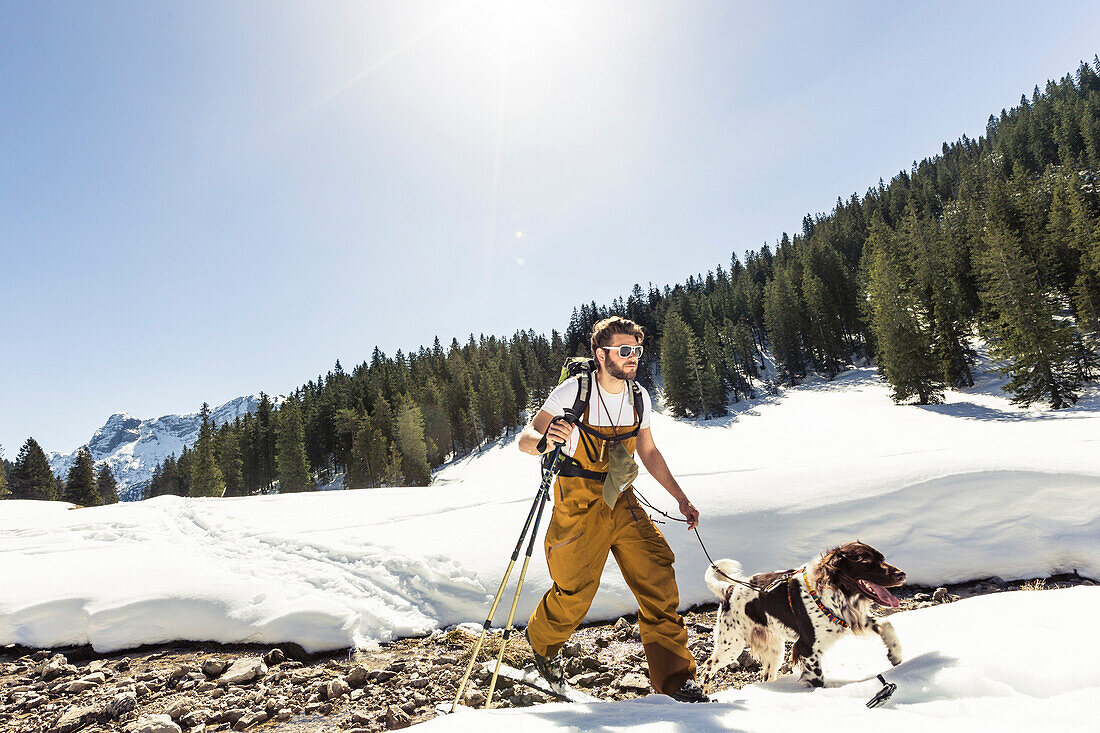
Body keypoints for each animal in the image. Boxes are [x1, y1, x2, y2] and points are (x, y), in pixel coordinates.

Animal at [699, 539, 906, 686]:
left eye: (882, 558)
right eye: (867, 562)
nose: (902, 575)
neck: (833, 590)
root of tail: (730, 588)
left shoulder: (851, 618)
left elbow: (886, 623)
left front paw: (895, 654)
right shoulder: (807, 648)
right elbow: (818, 680)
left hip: (774, 650)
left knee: (767, 676)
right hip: (730, 646)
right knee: (707, 667)